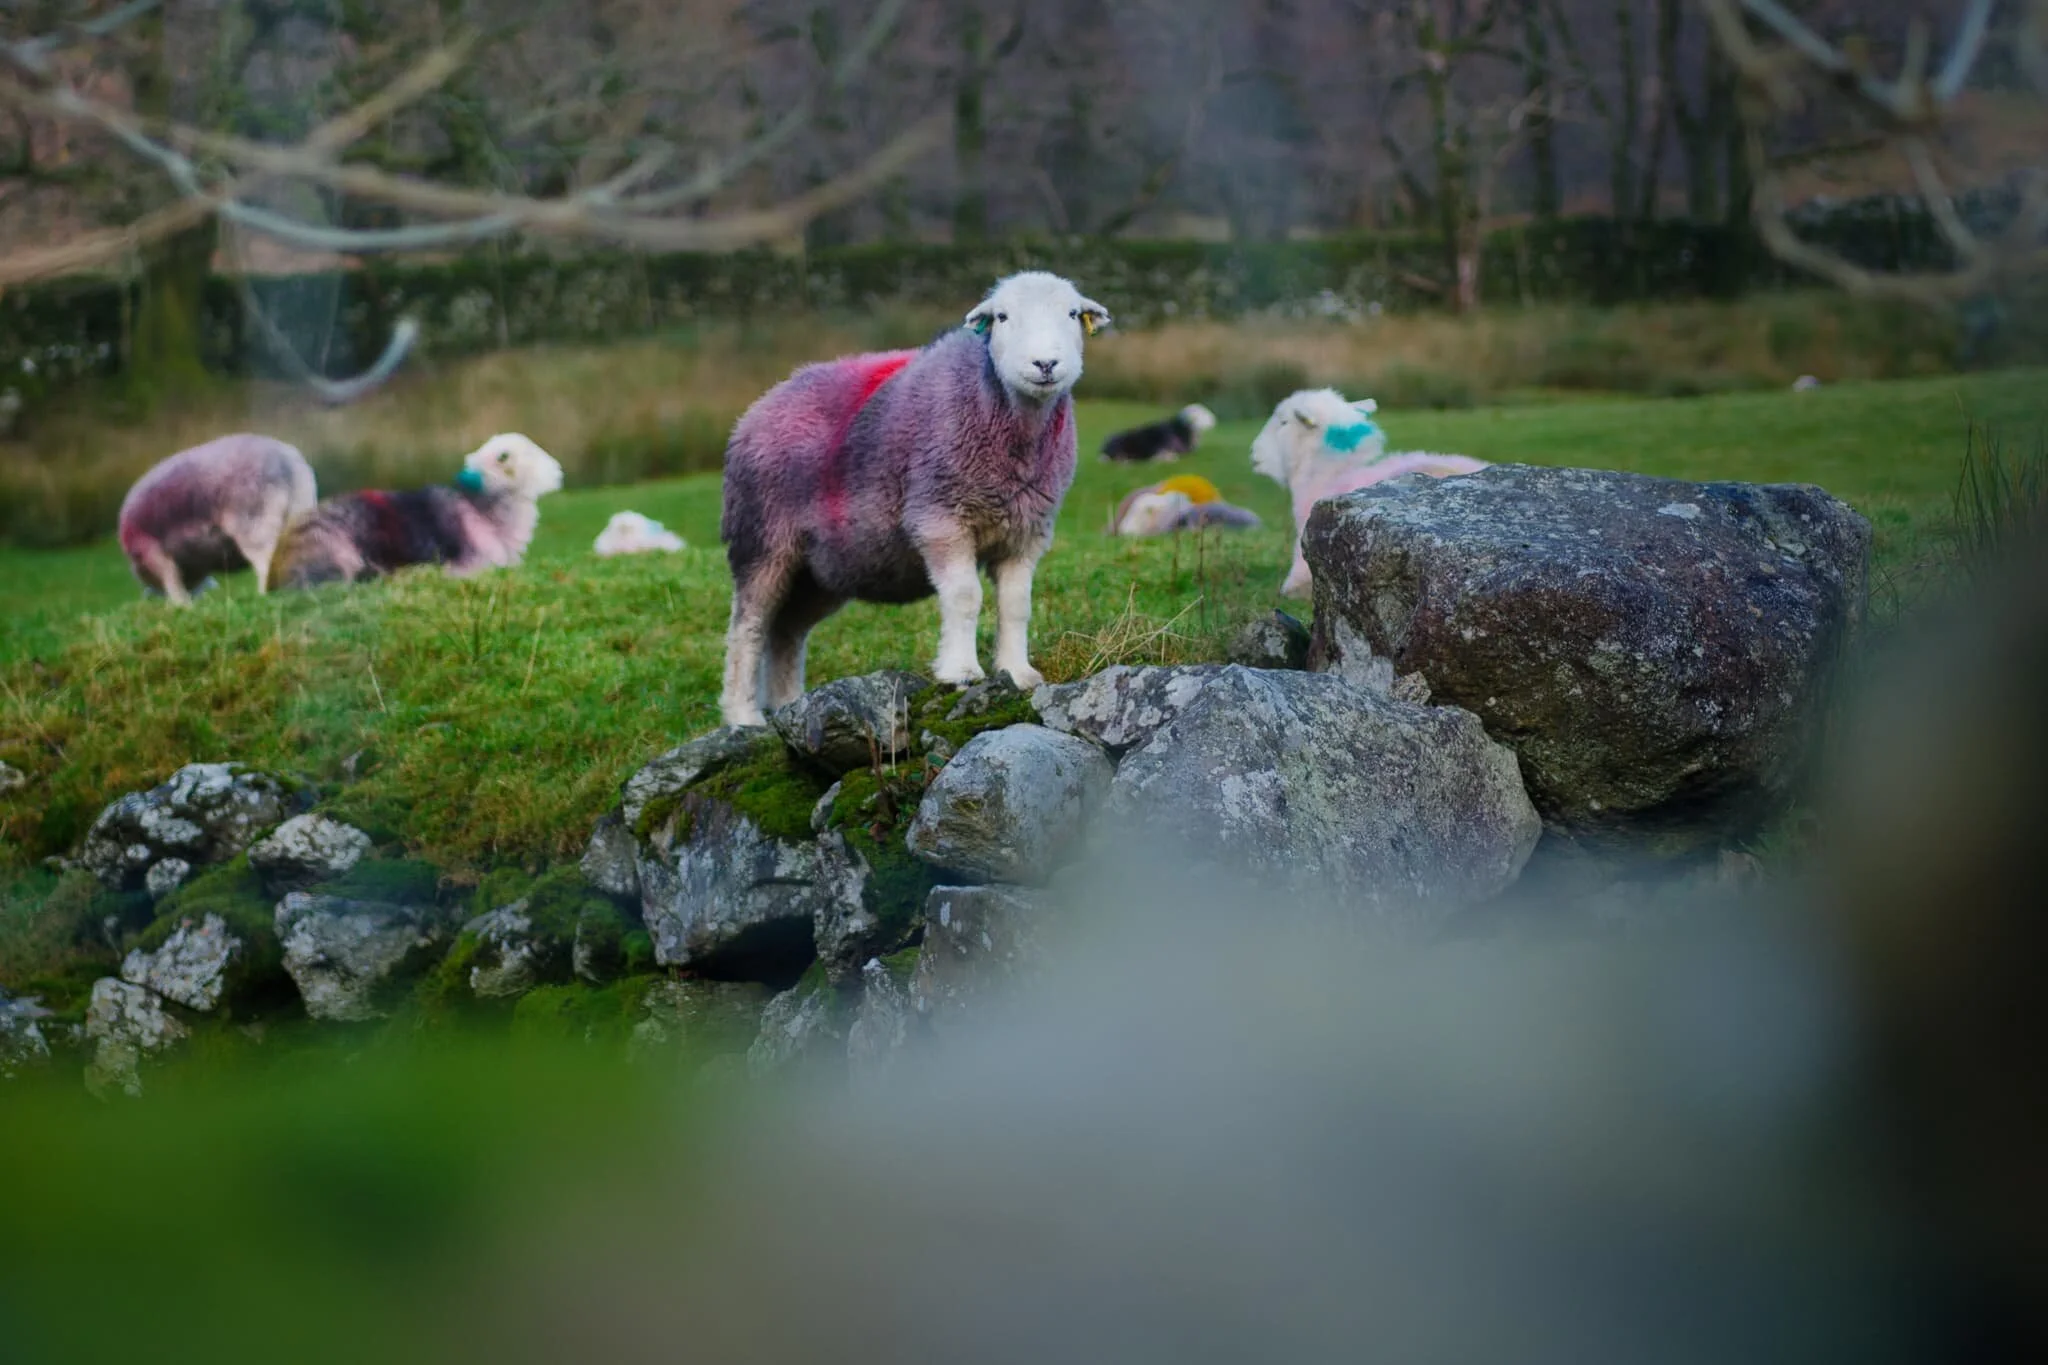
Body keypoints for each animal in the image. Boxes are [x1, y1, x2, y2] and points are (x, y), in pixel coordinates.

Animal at [117, 433, 317, 604]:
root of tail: (285, 460)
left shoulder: (153, 551)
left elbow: (172, 583)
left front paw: (182, 608)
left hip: (254, 523)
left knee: (266, 562)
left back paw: (264, 596)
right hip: (300, 507)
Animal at [718, 270, 1111, 726]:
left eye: (1072, 314)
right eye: (1002, 317)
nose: (1045, 364)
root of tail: (757, 409)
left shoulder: (1026, 532)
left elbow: (1016, 605)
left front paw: (1017, 672)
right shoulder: (940, 517)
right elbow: (964, 597)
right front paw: (960, 672)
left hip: (821, 569)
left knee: (786, 631)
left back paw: (789, 705)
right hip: (762, 538)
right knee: (748, 629)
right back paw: (743, 716)